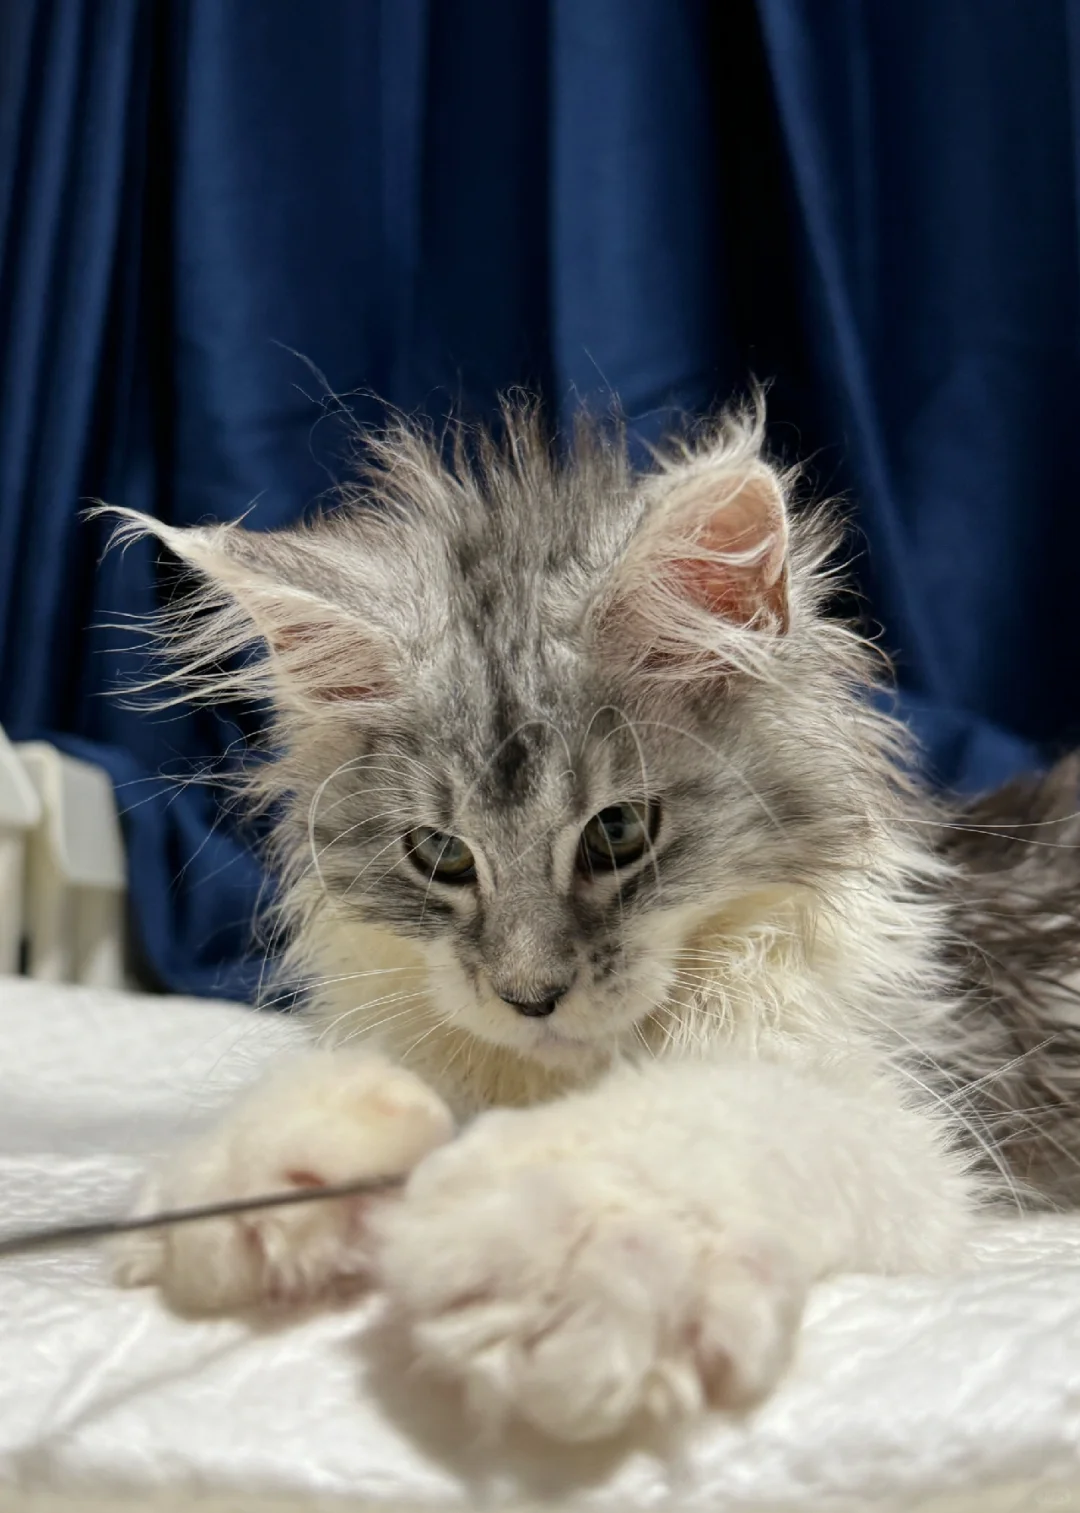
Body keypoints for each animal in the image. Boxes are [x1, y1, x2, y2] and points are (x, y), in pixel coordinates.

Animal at [108, 399, 1080, 1443]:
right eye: (441, 854)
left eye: (617, 832)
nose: (529, 996)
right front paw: (255, 1186)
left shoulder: (912, 1120)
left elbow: (696, 1123)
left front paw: (550, 1240)